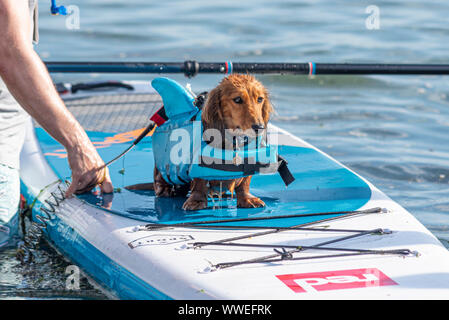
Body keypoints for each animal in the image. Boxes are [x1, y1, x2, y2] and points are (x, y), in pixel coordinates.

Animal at [127, 74, 272, 211]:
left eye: (260, 99)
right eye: (237, 99)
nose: (259, 127)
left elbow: (244, 183)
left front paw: (247, 199)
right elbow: (199, 182)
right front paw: (196, 201)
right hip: (162, 172)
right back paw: (165, 191)